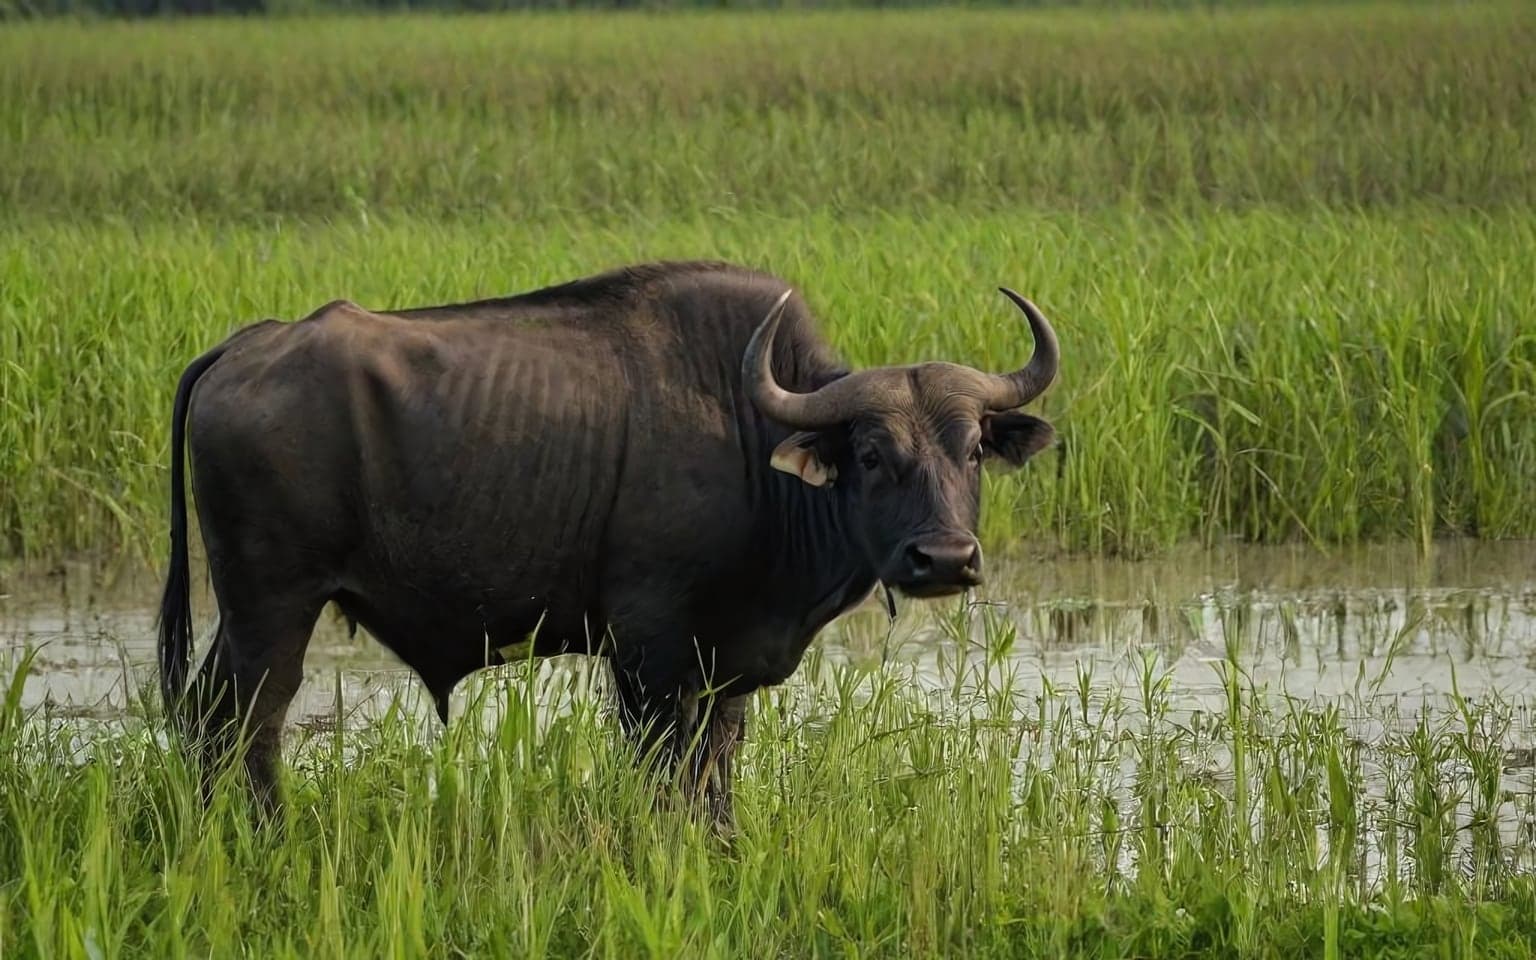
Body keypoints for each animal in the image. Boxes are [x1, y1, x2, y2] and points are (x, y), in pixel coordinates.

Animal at [157, 260, 1059, 828]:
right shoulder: (647, 657)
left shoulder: (723, 672)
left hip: (250, 618)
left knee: (208, 719)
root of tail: (244, 346)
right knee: (246, 726)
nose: (944, 560)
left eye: (971, 449)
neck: (746, 437)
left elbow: (715, 774)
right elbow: (665, 776)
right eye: (871, 454)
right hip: (272, 611)